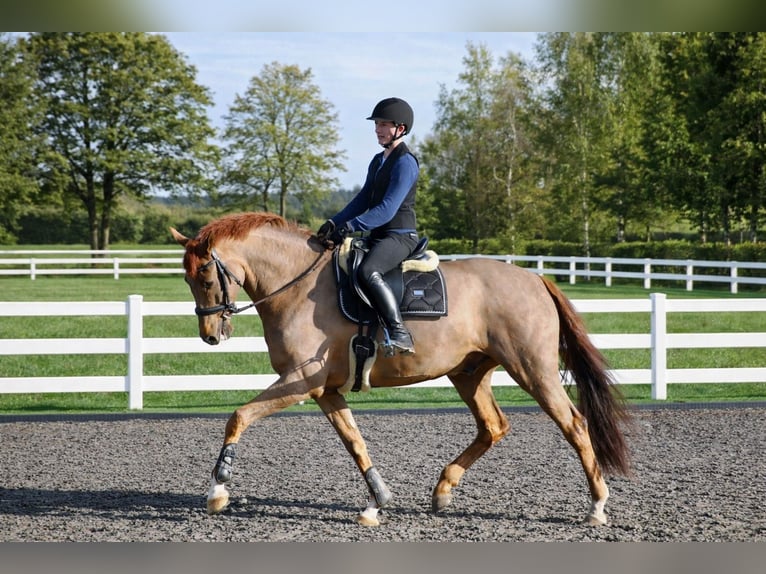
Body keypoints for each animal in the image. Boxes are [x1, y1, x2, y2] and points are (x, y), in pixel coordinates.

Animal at [170, 211, 632, 527]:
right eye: (187, 280)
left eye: (206, 277)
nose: (211, 335)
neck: (297, 286)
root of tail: (535, 278)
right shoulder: (326, 391)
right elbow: (355, 443)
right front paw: (377, 502)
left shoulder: (300, 382)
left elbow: (238, 416)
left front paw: (218, 489)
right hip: (469, 373)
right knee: (493, 426)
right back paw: (443, 490)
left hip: (532, 369)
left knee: (574, 424)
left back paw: (596, 505)